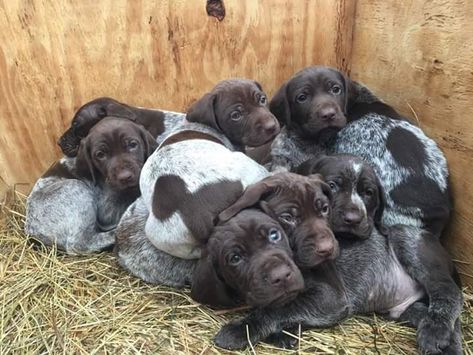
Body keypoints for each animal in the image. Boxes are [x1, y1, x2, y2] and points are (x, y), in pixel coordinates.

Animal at [25, 118, 157, 254]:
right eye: (100, 155)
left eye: (132, 145)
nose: (125, 177)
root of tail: (32, 233)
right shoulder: (107, 211)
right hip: (76, 187)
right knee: (79, 244)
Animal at [215, 156, 460, 355]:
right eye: (287, 217)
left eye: (324, 209)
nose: (326, 249)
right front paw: (283, 334)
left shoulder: (331, 297)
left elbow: (279, 308)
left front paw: (240, 329)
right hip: (407, 309)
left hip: (406, 239)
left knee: (449, 293)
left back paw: (436, 331)